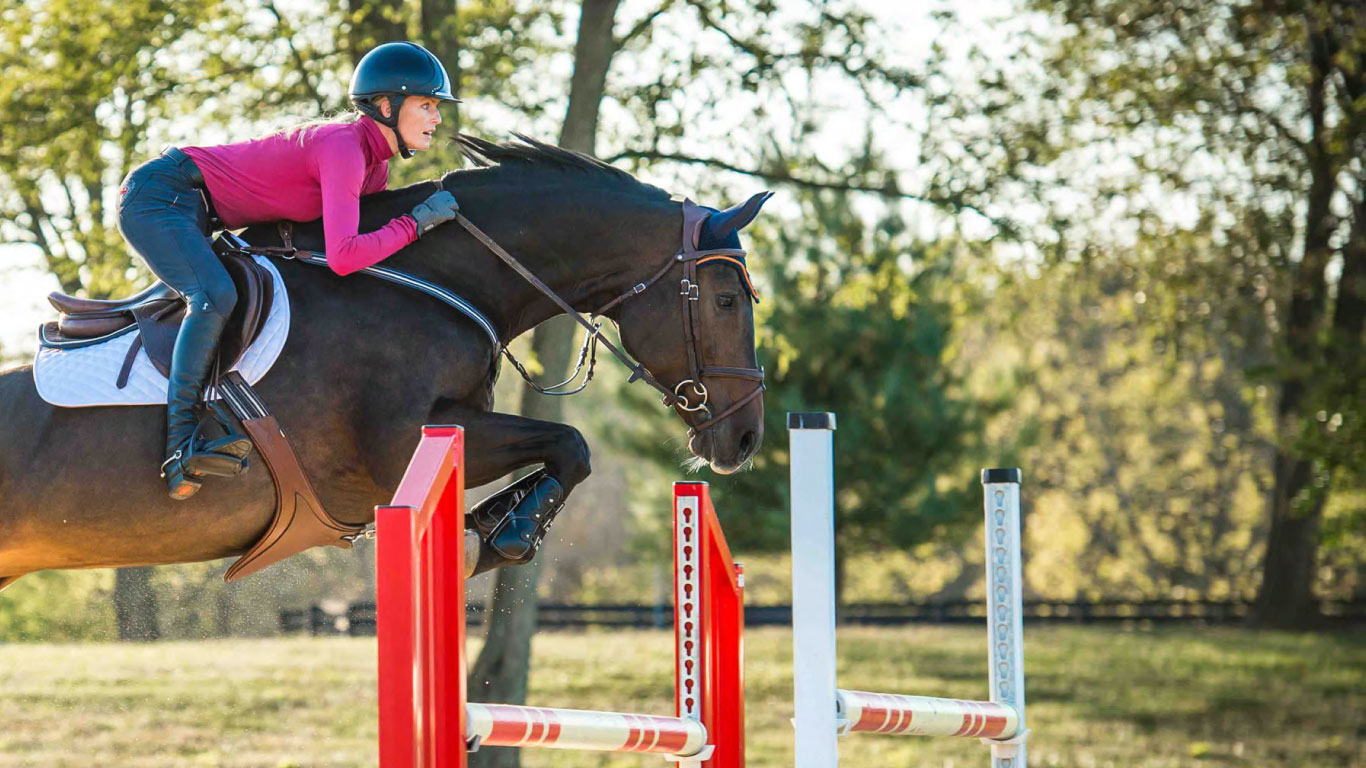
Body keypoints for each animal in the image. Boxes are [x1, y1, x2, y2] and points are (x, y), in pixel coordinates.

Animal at [0, 134, 770, 587]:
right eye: (727, 299)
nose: (744, 439)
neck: (435, 279)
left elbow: (562, 450)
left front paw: (500, 523)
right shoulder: (399, 444)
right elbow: (571, 442)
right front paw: (513, 531)